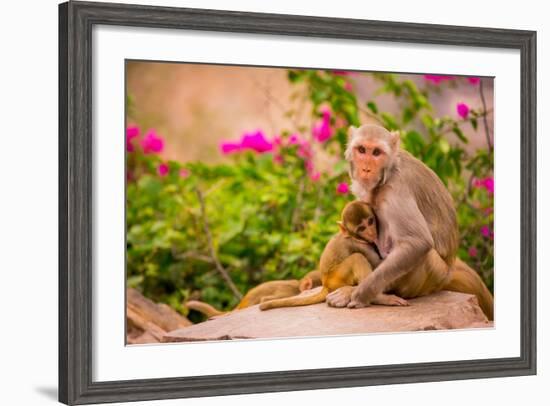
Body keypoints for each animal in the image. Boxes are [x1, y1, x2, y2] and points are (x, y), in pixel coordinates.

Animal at [260, 201, 410, 310]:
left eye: (370, 221)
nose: (371, 232)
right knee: (357, 258)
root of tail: (326, 284)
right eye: (361, 228)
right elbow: (379, 263)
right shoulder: (360, 245)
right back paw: (378, 298)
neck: (353, 236)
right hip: (338, 277)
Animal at [328, 123, 496, 320]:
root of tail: (449, 271)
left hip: (430, 276)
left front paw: (361, 294)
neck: (389, 171)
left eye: (376, 152)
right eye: (361, 150)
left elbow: (417, 243)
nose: (366, 169)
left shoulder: (396, 190)